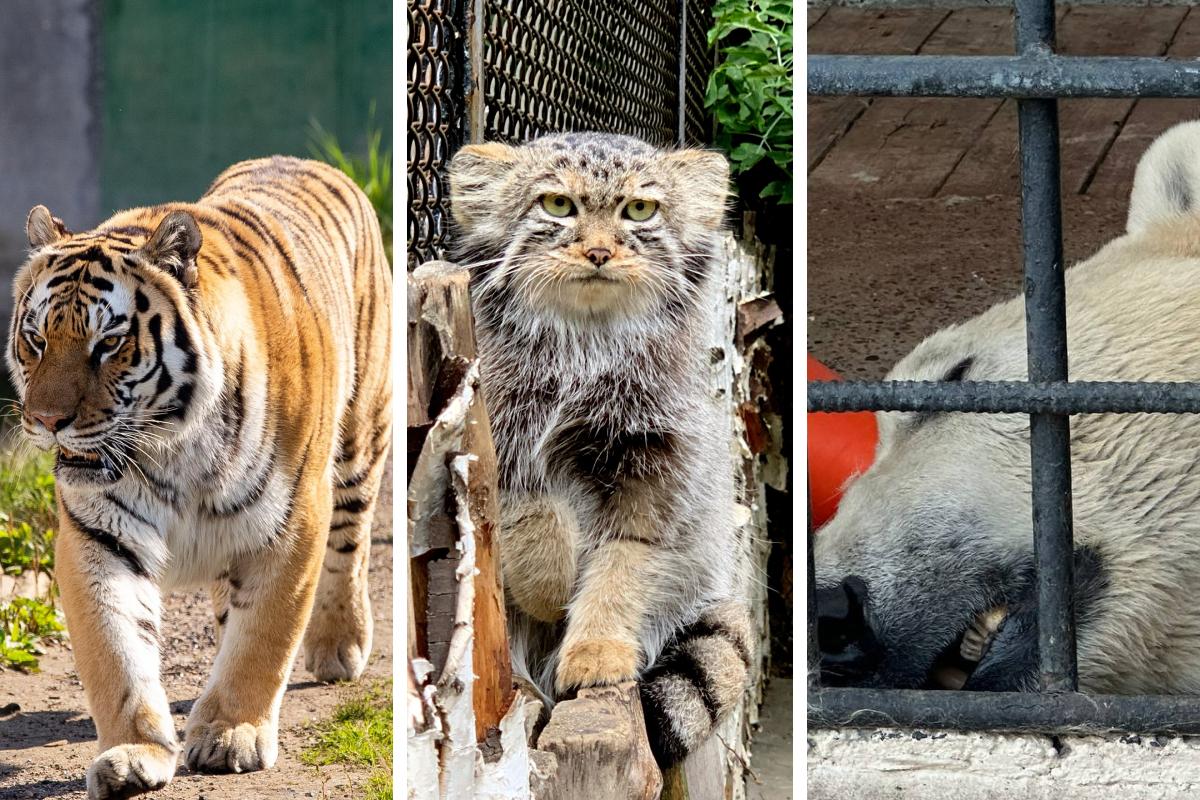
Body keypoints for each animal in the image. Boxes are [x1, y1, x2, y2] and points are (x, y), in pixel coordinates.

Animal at [7, 154, 391, 796]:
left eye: (108, 344)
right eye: (35, 340)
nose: (46, 421)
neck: (172, 448)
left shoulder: (293, 522)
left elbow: (265, 634)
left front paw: (233, 734)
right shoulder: (99, 535)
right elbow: (116, 650)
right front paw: (135, 752)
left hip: (362, 438)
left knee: (351, 541)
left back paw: (338, 644)